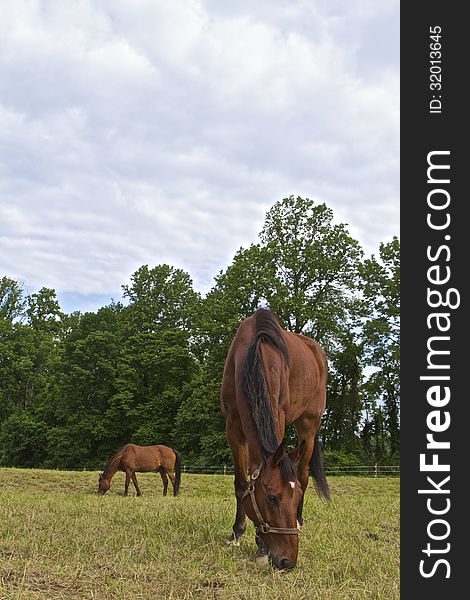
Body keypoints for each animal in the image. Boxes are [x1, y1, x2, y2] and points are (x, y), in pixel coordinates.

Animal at [221, 308, 328, 568]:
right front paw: (237, 533)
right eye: (271, 498)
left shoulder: (277, 415)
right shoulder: (233, 427)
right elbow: (242, 483)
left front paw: (260, 544)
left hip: (308, 429)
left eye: (295, 497)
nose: (288, 561)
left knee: (303, 476)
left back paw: (300, 520)